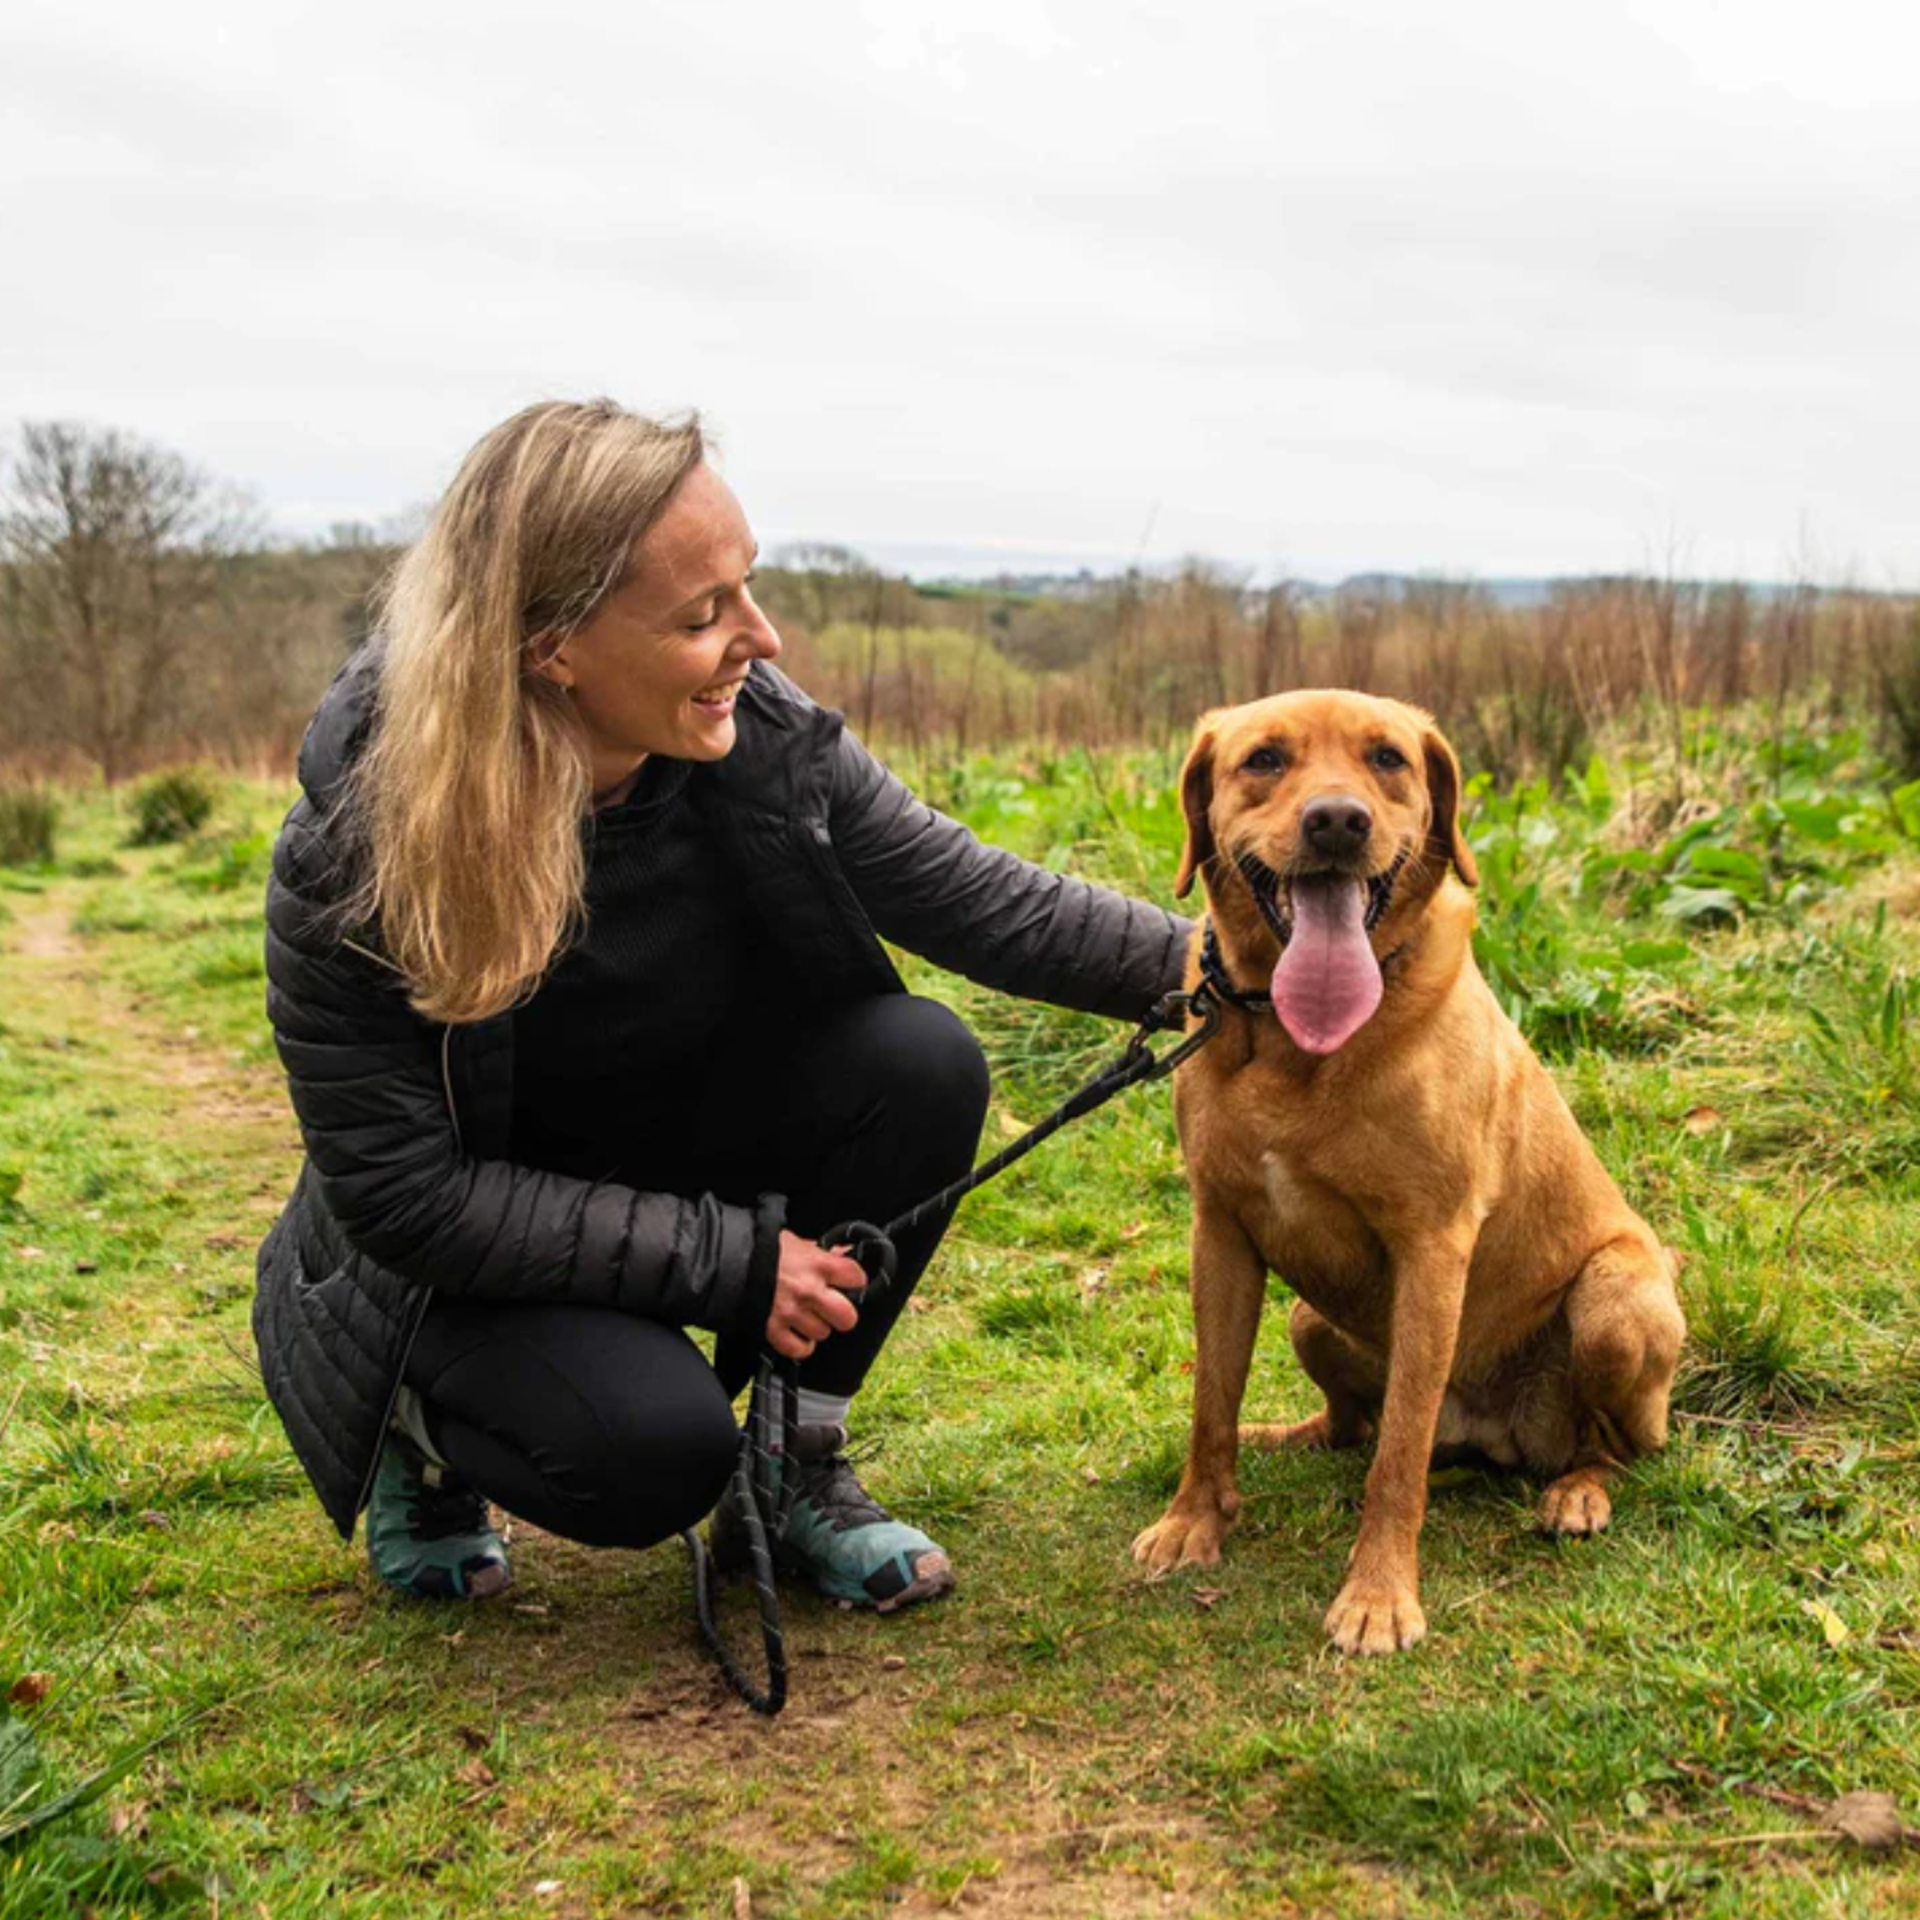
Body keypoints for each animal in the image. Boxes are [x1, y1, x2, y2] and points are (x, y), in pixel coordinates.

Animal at [1132, 690, 1685, 1655]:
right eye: (1264, 760)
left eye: (1387, 759)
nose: (1337, 821)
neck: (1293, 1037)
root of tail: (1495, 1438)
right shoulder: (1220, 1232)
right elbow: (1211, 1403)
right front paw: (1194, 1521)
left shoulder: (1433, 1248)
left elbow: (1398, 1462)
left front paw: (1379, 1595)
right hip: (1311, 1319)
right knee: (1352, 1425)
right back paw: (1293, 1433)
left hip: (1616, 1301)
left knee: (1611, 1445)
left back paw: (1577, 1492)